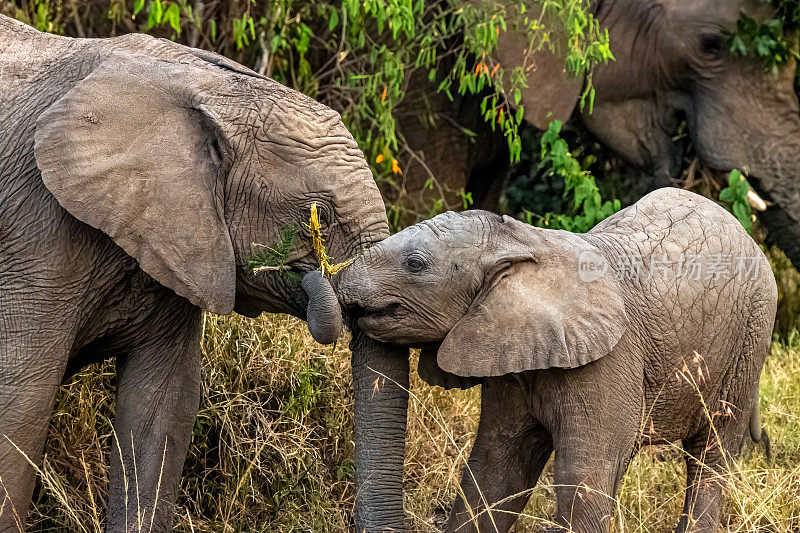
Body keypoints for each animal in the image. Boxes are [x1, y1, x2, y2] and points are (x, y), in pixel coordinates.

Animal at [340, 190, 780, 532]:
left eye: (415, 264)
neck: (521, 243)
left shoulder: (609, 360)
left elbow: (583, 481)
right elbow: (495, 469)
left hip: (750, 339)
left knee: (711, 455)